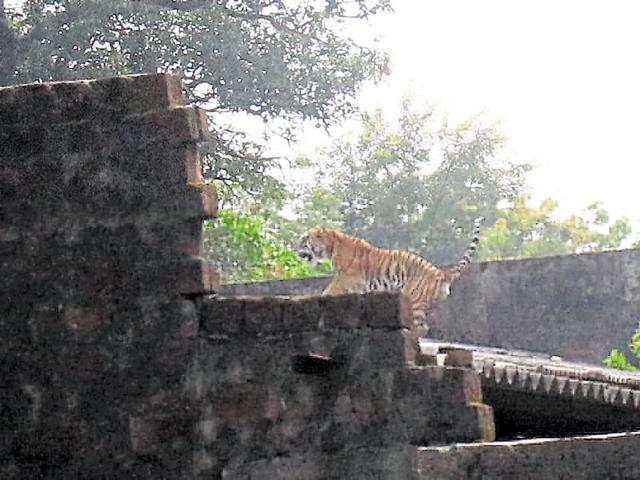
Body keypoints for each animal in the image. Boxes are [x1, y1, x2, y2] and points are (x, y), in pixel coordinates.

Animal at [297, 218, 482, 326]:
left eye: (304, 240)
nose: (296, 250)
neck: (331, 245)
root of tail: (440, 273)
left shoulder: (345, 277)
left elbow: (330, 289)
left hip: (414, 299)